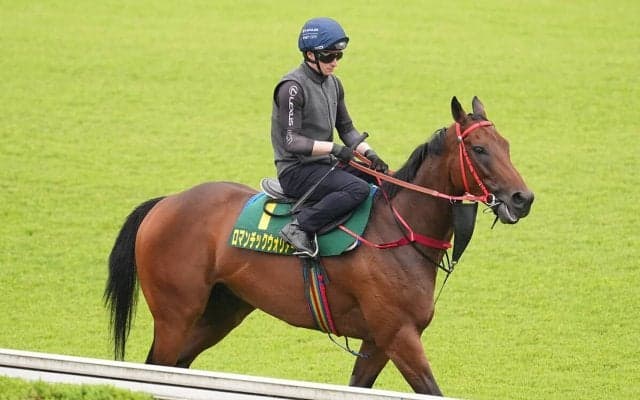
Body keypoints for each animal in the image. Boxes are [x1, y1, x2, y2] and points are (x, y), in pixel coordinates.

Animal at [104, 96, 534, 396]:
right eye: (479, 149)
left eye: (506, 145)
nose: (522, 199)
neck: (398, 229)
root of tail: (165, 203)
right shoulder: (399, 335)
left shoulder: (377, 342)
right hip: (176, 315)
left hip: (221, 312)